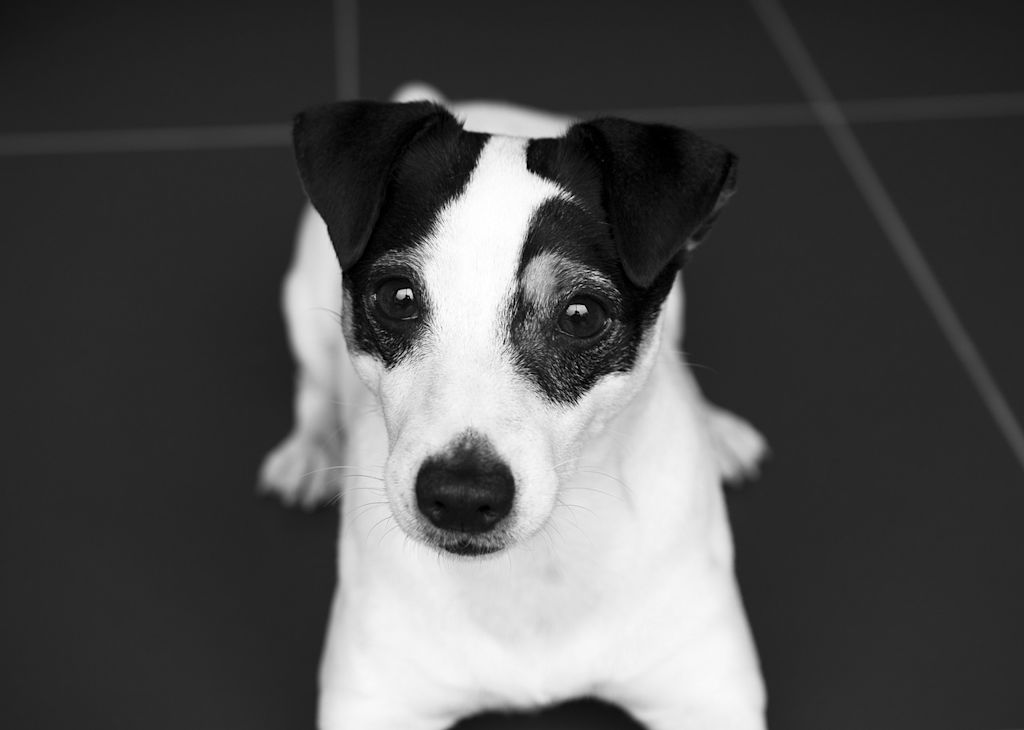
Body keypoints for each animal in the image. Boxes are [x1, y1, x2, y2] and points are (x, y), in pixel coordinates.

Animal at [260, 82, 765, 724]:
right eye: (398, 298)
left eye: (582, 314)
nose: (461, 497)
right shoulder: (373, 704)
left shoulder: (710, 697)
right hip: (303, 307)